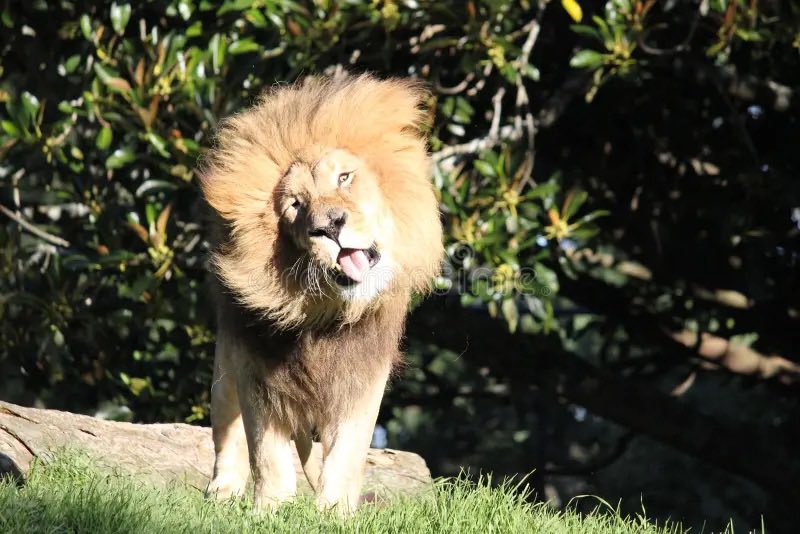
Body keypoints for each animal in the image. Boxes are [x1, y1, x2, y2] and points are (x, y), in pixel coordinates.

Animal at [199, 73, 443, 513]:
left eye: (344, 178)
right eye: (295, 204)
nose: (329, 225)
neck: (322, 312)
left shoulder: (362, 375)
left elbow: (347, 452)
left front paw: (334, 512)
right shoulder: (256, 370)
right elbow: (266, 454)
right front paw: (270, 511)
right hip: (226, 365)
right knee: (228, 432)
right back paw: (223, 492)